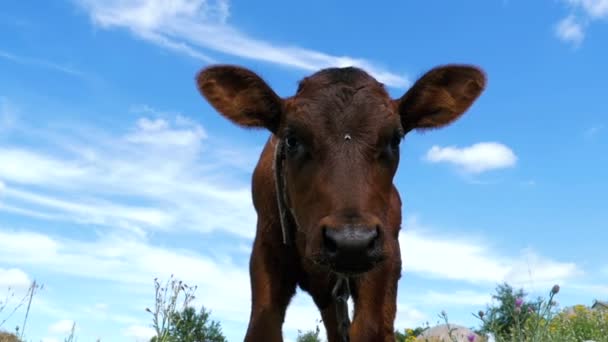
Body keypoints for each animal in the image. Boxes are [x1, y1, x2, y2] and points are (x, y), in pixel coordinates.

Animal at [197, 62, 486, 340]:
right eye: (292, 139)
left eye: (394, 139)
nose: (351, 241)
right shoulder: (266, 250)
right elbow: (262, 328)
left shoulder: (384, 260)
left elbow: (369, 329)